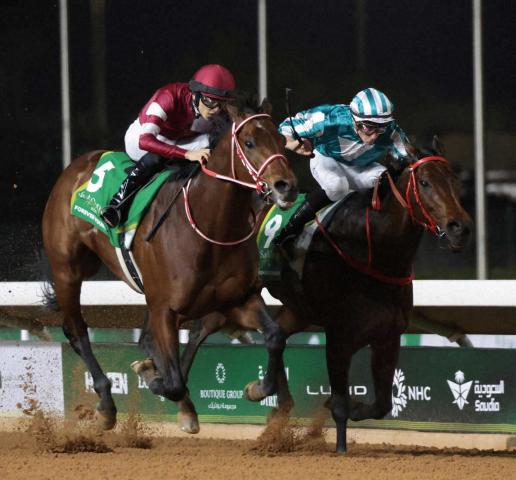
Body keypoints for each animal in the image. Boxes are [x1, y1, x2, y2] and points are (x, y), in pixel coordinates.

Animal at [42, 99, 298, 430]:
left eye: (281, 140)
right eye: (249, 142)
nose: (286, 186)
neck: (211, 228)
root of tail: (77, 166)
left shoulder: (239, 299)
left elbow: (275, 337)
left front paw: (258, 389)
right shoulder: (165, 308)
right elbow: (174, 382)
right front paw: (153, 378)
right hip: (68, 271)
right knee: (77, 331)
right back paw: (107, 404)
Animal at [168, 135, 472, 450]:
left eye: (453, 180)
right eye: (425, 182)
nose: (460, 227)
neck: (371, 251)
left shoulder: (388, 335)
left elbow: (382, 404)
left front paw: (351, 409)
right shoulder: (338, 336)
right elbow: (339, 405)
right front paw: (339, 447)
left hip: (297, 309)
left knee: (276, 333)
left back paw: (273, 402)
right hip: (235, 292)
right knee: (202, 329)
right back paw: (179, 397)